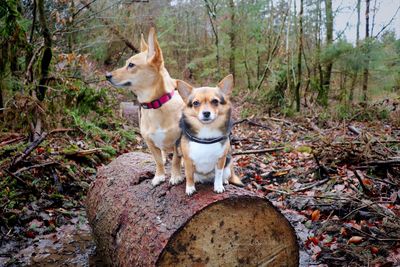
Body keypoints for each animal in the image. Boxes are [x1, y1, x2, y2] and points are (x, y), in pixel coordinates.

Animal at [104, 27, 183, 186]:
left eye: (131, 65)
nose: (107, 75)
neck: (156, 105)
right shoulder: (149, 142)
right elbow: (157, 161)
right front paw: (159, 176)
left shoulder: (178, 141)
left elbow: (176, 160)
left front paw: (175, 176)